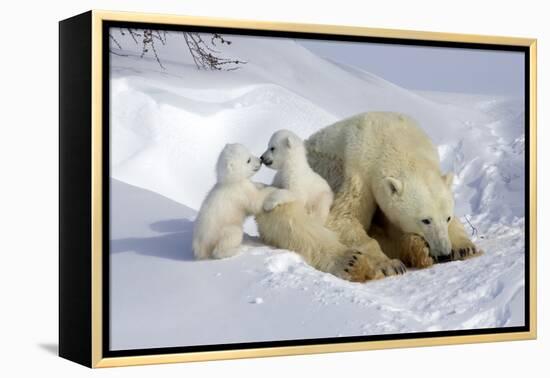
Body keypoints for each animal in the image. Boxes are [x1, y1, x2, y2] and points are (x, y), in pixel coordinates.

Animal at [256, 110, 480, 282]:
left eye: (447, 217)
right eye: (425, 220)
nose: (444, 254)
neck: (394, 138)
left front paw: (464, 247)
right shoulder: (360, 171)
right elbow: (343, 217)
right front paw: (389, 265)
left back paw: (419, 250)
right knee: (293, 221)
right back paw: (352, 262)